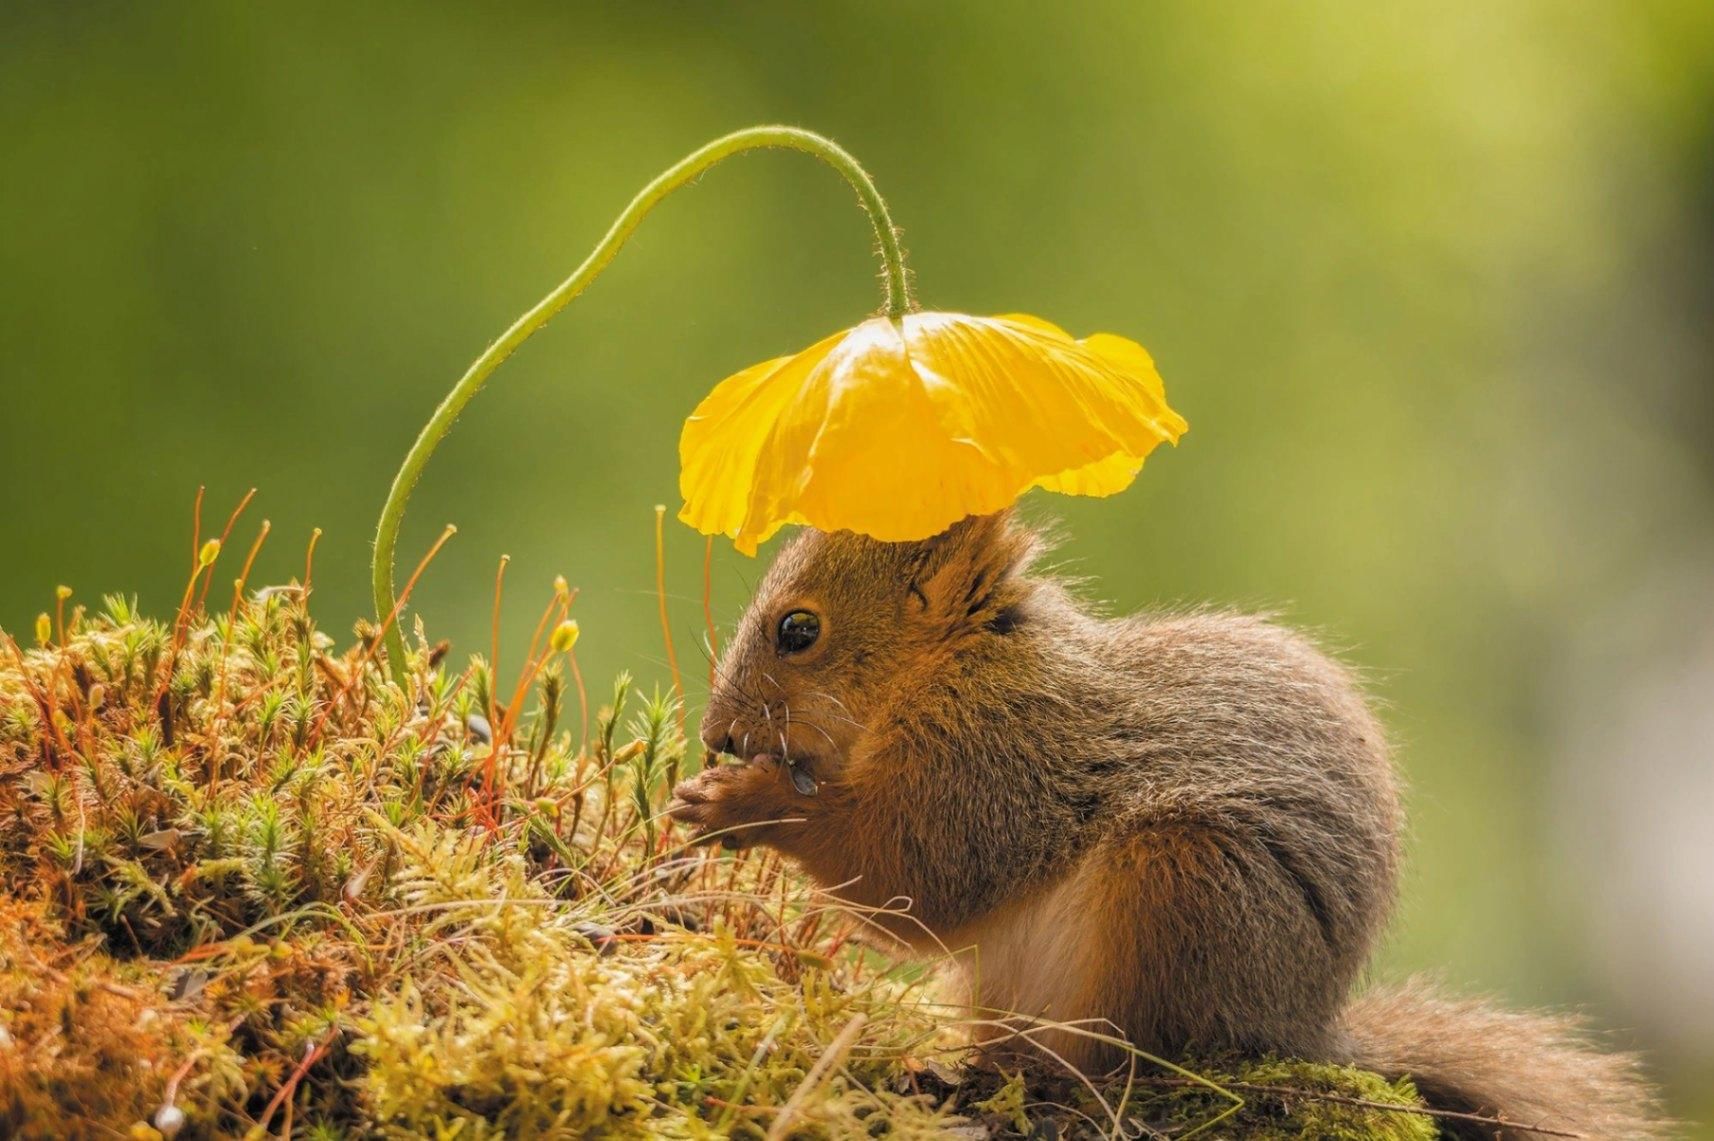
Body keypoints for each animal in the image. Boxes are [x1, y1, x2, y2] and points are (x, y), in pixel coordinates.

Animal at [665, 513, 1659, 1137]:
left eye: (799, 630)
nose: (718, 734)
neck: (951, 663)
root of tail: (1301, 1025)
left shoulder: (1002, 755)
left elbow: (916, 870)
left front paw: (743, 803)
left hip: (1183, 884)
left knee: (1143, 1055)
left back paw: (1071, 1076)